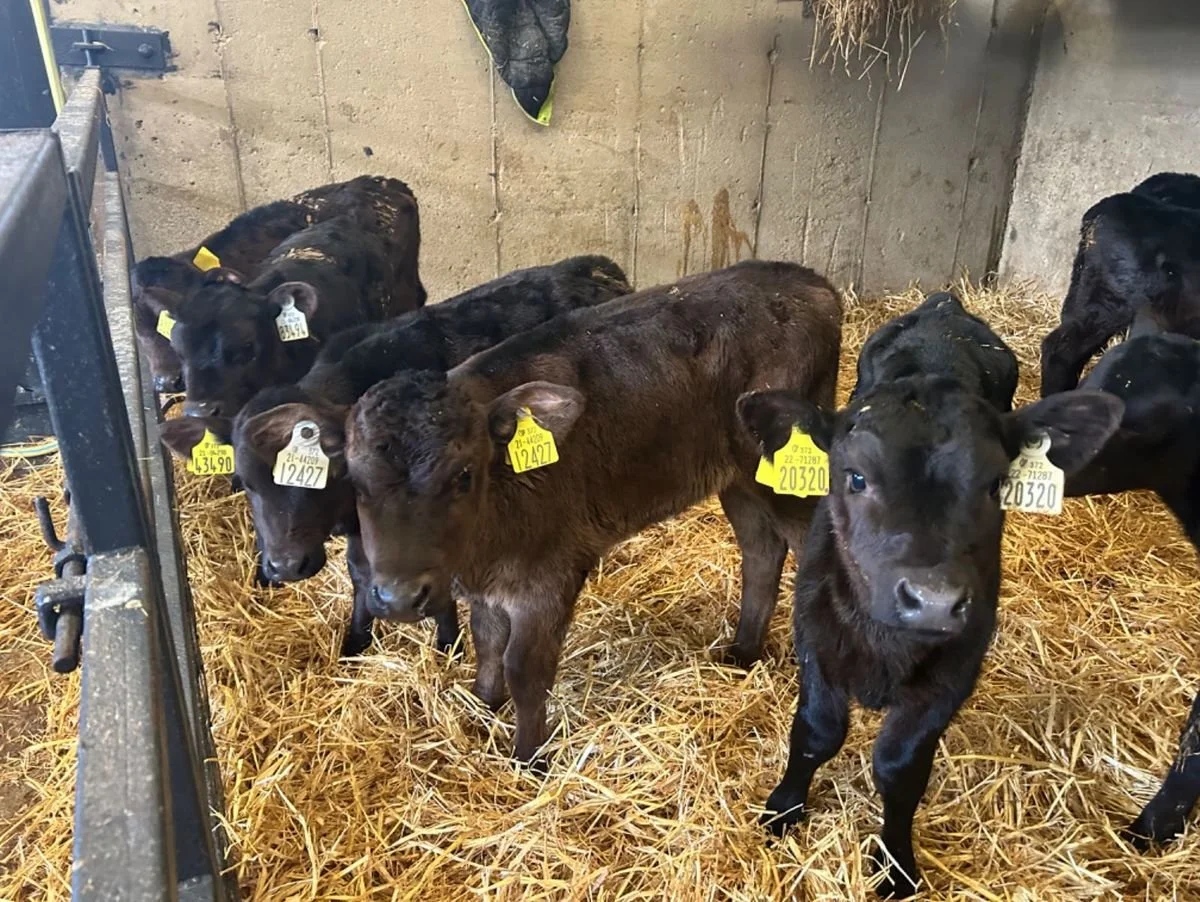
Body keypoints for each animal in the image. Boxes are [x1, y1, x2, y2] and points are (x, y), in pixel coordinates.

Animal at [160, 256, 632, 657]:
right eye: (247, 483)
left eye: (245, 347)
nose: (286, 566)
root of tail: (594, 266)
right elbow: (360, 574)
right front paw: (356, 641)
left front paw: (448, 645)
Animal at [341, 260, 844, 765]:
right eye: (357, 483)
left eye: (463, 474)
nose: (399, 598)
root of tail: (808, 281)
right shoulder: (489, 588)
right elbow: (487, 643)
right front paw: (480, 708)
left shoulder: (550, 574)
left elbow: (524, 669)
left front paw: (528, 759)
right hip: (737, 476)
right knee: (761, 549)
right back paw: (741, 653)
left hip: (789, 472)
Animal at [746, 292, 1122, 897]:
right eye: (854, 477)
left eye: (996, 484)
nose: (934, 599)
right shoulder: (816, 634)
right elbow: (816, 732)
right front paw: (783, 809)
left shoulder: (958, 666)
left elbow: (901, 767)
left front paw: (896, 863)